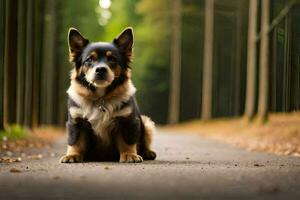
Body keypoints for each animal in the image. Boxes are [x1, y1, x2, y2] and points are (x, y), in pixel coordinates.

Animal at [59, 27, 157, 162]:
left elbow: (128, 141)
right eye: (89, 59)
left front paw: (129, 154)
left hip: (147, 123)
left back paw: (148, 152)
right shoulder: (76, 122)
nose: (100, 69)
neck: (101, 98)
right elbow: (76, 141)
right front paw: (72, 155)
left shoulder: (128, 121)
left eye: (112, 59)